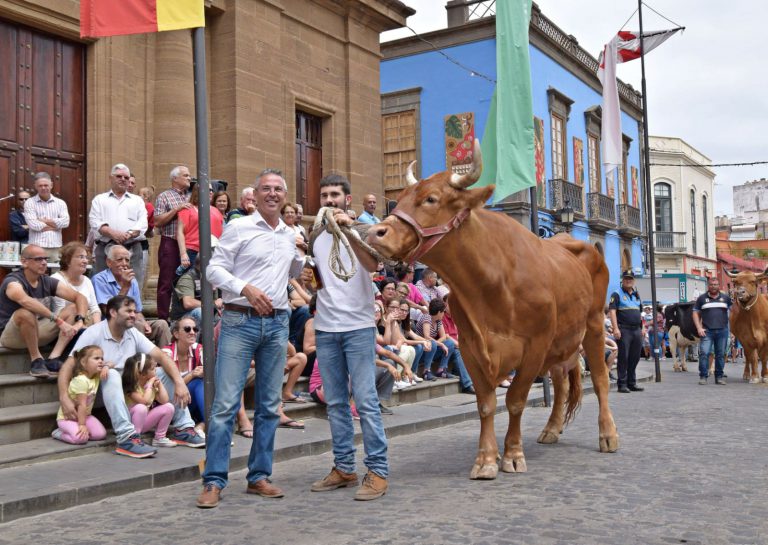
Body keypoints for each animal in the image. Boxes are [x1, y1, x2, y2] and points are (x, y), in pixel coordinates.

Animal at [364, 140, 616, 480]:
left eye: (431, 199)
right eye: (400, 198)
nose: (376, 232)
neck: (491, 284)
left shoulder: (535, 345)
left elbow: (515, 400)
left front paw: (512, 455)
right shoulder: (471, 346)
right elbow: (485, 404)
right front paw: (485, 459)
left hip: (593, 324)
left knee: (600, 379)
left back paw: (608, 435)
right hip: (562, 341)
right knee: (563, 382)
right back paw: (551, 429)